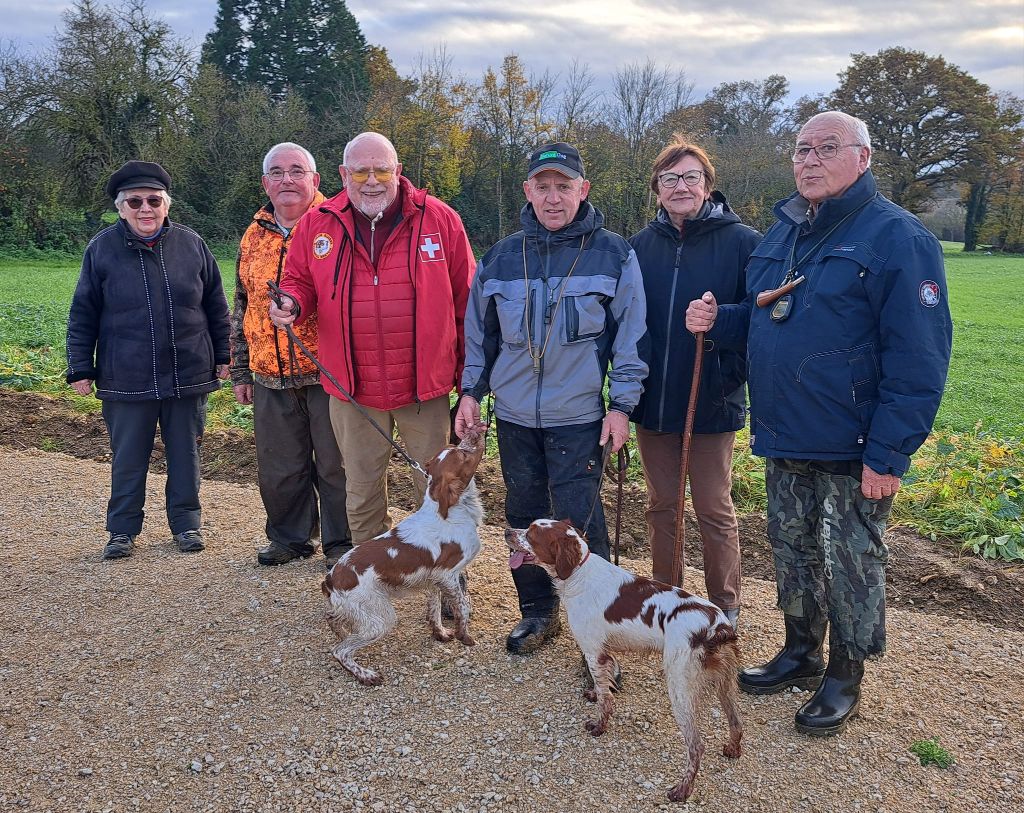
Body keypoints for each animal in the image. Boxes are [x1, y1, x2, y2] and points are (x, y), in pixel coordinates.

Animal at [321, 430, 485, 683]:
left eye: (454, 448)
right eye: (462, 455)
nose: (472, 433)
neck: (451, 511)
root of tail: (331, 579)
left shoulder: (434, 579)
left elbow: (435, 610)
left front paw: (441, 633)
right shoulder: (448, 575)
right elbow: (463, 607)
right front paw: (464, 637)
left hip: (356, 611)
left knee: (332, 619)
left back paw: (341, 632)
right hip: (380, 618)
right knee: (340, 651)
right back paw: (366, 675)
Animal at [505, 516, 741, 802]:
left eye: (531, 534)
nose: (507, 531)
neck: (578, 573)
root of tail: (718, 627)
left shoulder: (593, 650)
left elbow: (605, 700)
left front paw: (599, 726)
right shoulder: (604, 652)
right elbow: (603, 686)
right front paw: (595, 694)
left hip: (680, 688)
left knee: (697, 745)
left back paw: (682, 790)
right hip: (725, 684)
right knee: (737, 722)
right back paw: (732, 750)